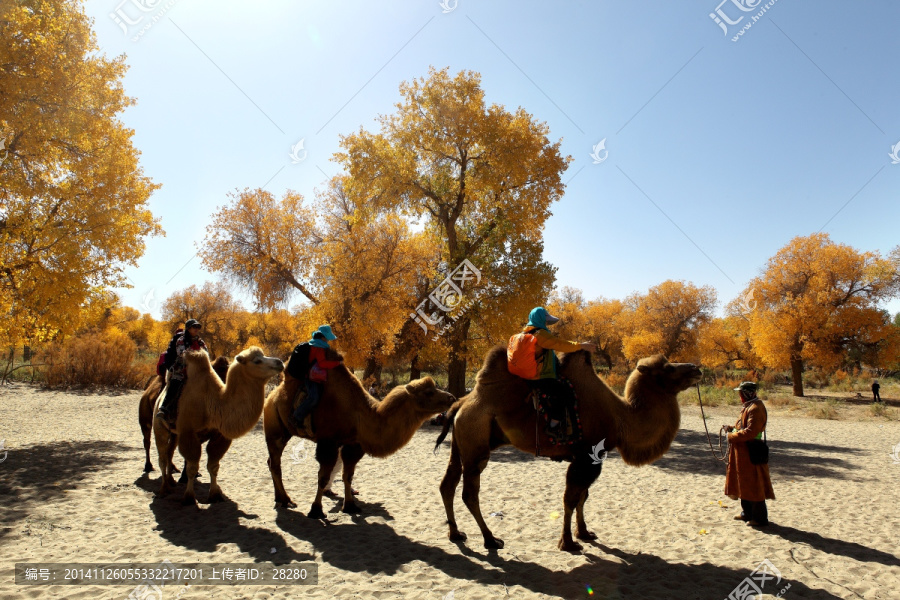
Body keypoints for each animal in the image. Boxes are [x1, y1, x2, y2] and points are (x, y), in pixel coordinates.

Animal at [153, 346, 284, 506]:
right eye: (257, 361)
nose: (279, 363)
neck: (213, 402)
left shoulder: (220, 435)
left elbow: (213, 466)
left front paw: (215, 495)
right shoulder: (188, 432)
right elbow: (192, 467)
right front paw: (189, 498)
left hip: (175, 434)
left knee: (169, 454)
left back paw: (171, 481)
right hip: (160, 426)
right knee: (162, 457)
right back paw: (164, 489)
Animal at [264, 352, 454, 520]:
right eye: (429, 392)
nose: (451, 397)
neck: (360, 416)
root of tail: (272, 395)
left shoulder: (353, 445)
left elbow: (347, 476)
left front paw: (350, 506)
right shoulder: (328, 442)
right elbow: (323, 477)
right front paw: (316, 511)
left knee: (271, 462)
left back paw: (279, 498)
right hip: (274, 426)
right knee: (275, 463)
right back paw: (286, 500)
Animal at [436, 346, 704, 552]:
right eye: (668, 368)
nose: (696, 368)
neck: (621, 417)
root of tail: (461, 403)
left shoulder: (591, 459)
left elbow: (583, 496)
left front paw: (584, 533)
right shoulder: (586, 457)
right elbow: (571, 498)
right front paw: (568, 543)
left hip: (461, 445)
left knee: (447, 484)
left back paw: (456, 534)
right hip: (476, 446)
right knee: (469, 493)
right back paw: (491, 539)